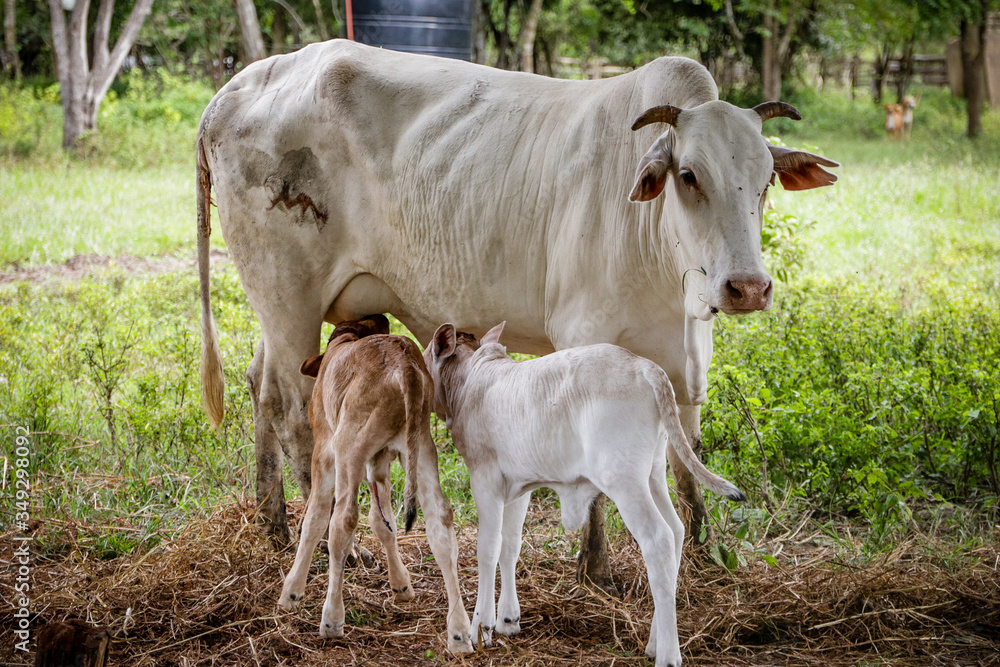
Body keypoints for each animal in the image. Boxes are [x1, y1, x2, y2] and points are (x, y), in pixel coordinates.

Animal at [195, 41, 836, 580]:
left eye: (766, 180)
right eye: (688, 175)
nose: (747, 287)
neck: (667, 271)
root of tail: (243, 83)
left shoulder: (685, 361)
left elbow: (684, 455)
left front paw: (705, 551)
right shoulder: (582, 336)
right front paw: (595, 568)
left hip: (287, 308)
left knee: (260, 384)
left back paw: (273, 524)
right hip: (289, 296)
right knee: (292, 408)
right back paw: (329, 537)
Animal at [276, 316, 474, 656]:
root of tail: (404, 365)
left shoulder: (324, 449)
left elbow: (315, 518)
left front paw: (291, 591)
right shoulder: (378, 461)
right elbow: (384, 523)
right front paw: (402, 584)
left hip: (348, 446)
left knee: (343, 519)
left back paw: (332, 619)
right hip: (421, 447)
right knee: (441, 522)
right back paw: (459, 632)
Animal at [422, 320, 744, 664]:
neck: (470, 381)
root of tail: (644, 366)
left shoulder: (485, 478)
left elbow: (488, 549)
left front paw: (480, 627)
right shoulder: (519, 485)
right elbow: (510, 545)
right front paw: (508, 619)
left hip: (624, 480)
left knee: (658, 539)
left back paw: (668, 655)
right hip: (653, 474)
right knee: (676, 529)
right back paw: (655, 642)